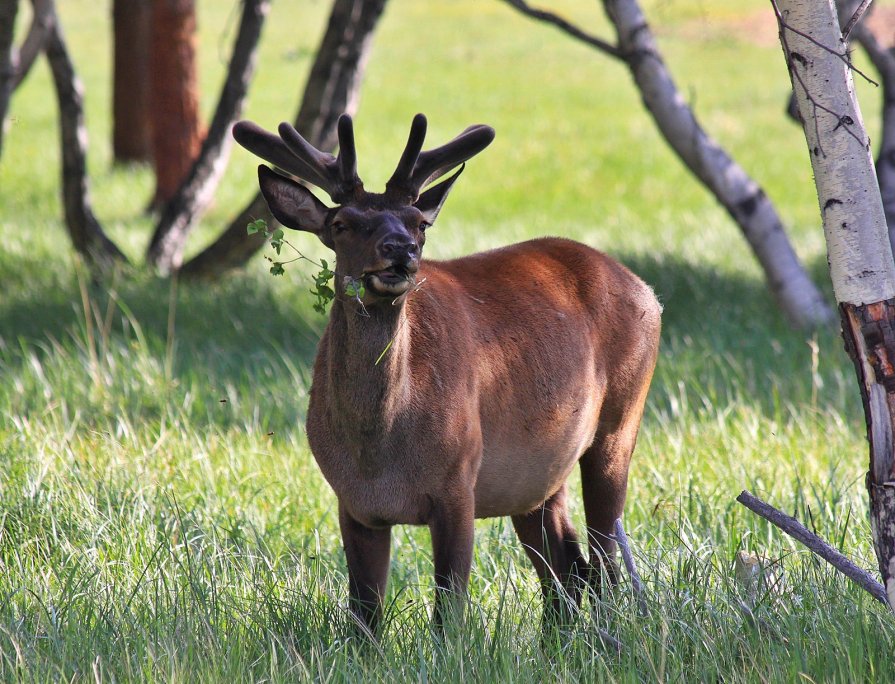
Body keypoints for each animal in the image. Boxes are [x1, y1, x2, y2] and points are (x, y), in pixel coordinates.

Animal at [234, 112, 660, 632]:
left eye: (418, 223)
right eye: (341, 223)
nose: (400, 249)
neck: (379, 454)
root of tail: (647, 291)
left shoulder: (459, 481)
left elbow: (449, 614)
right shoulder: (353, 502)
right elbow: (364, 617)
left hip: (620, 423)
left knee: (603, 560)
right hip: (539, 476)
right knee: (568, 568)